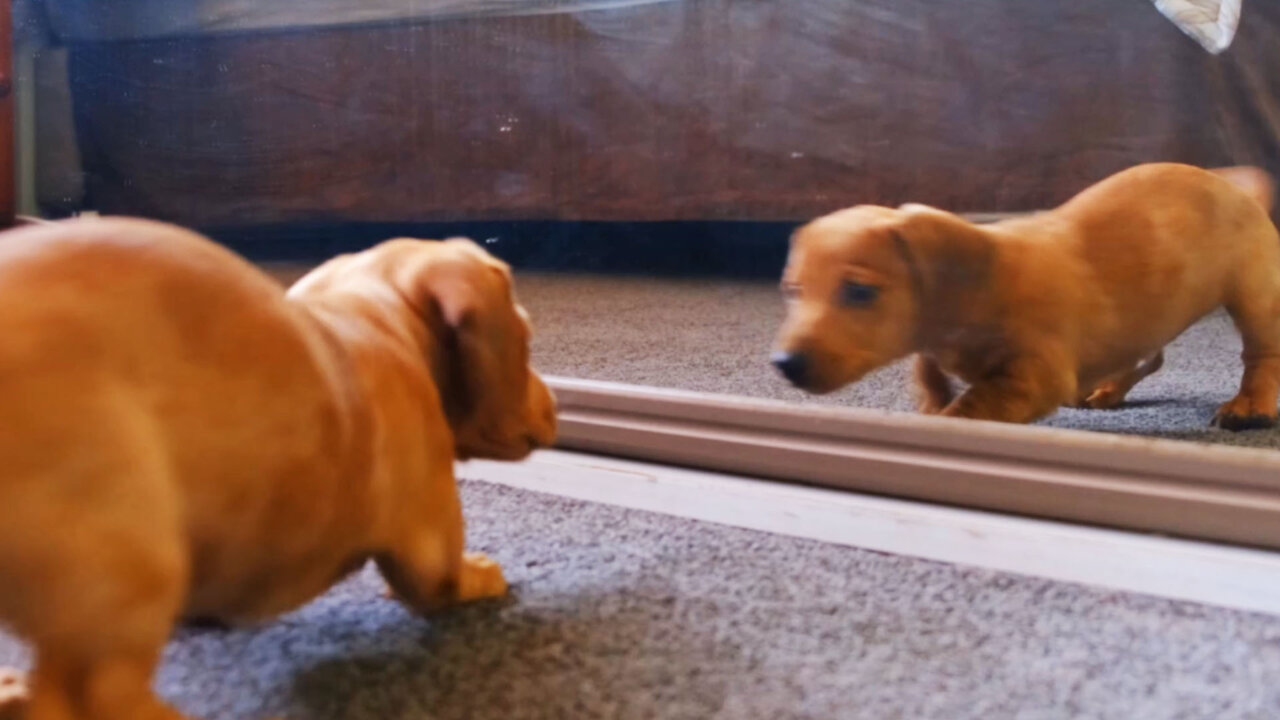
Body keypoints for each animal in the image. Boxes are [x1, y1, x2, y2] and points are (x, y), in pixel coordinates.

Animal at [0, 215, 555, 712]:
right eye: (527, 341)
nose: (555, 406)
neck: (380, 319)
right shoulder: (428, 546)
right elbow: (442, 581)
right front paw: (483, 573)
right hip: (129, 553)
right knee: (92, 696)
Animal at [768, 162, 1280, 427]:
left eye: (859, 291)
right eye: (792, 291)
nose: (784, 364)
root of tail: (1235, 186)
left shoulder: (1034, 375)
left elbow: (973, 407)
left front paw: (944, 417)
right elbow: (925, 366)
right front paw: (932, 398)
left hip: (1255, 295)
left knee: (1261, 355)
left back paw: (1249, 406)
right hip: (1146, 313)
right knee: (1146, 356)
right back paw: (1107, 387)